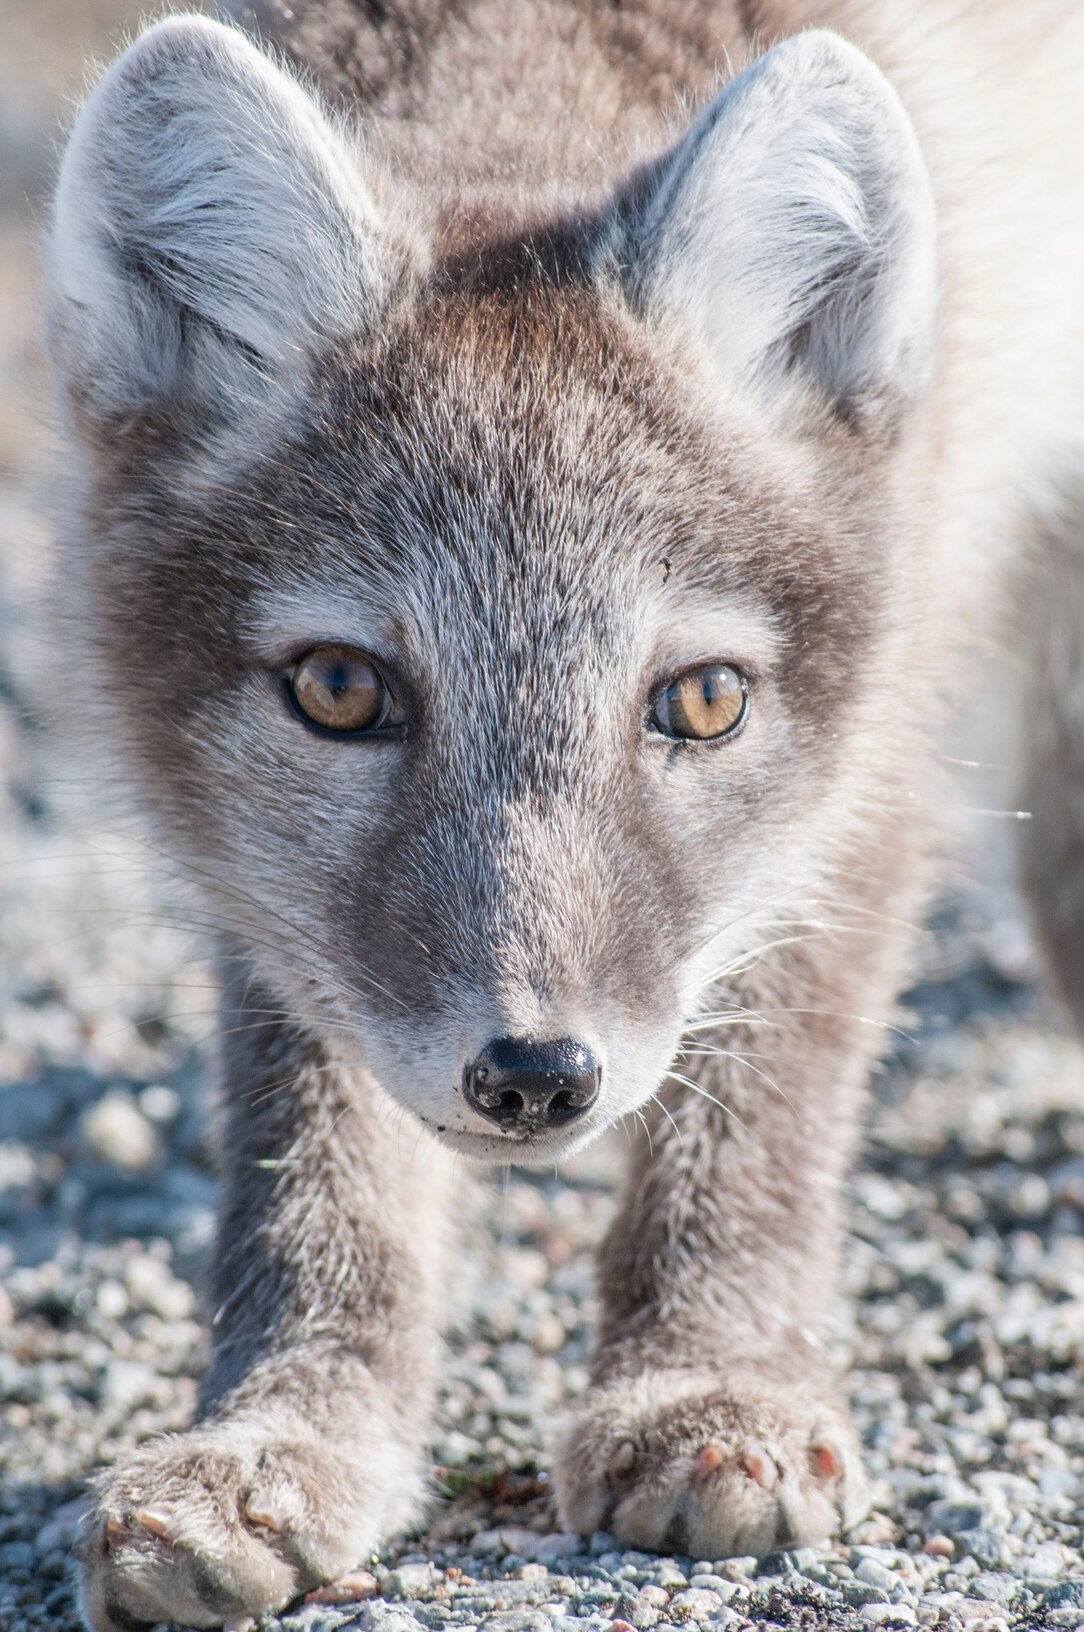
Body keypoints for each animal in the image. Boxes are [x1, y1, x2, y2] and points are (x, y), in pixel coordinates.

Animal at [44, 0, 1084, 1627]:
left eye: (703, 702)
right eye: (340, 690)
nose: (535, 1078)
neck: (515, 52)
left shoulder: (871, 762)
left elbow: (760, 1101)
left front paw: (712, 1388)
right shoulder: (287, 918)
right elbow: (315, 1167)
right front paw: (284, 1430)